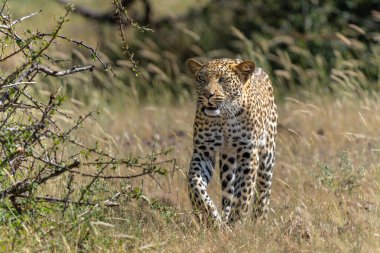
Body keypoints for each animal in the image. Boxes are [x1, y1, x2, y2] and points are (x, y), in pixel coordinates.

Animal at [186, 57, 278, 225]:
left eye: (222, 79)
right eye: (201, 79)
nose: (207, 94)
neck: (223, 117)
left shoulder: (248, 153)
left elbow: (244, 193)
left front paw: (237, 222)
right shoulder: (203, 151)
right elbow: (195, 184)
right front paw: (210, 217)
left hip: (267, 155)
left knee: (263, 190)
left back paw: (258, 221)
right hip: (227, 162)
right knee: (228, 193)